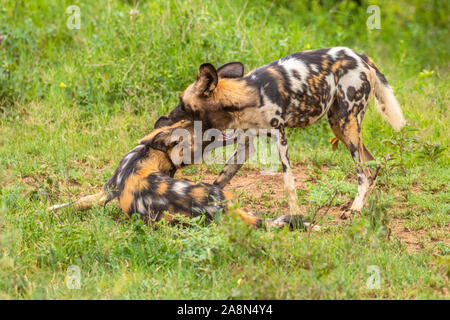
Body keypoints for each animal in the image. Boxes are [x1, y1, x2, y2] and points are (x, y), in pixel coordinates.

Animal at [163, 46, 406, 219]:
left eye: (182, 104)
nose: (166, 117)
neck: (247, 97)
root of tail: (359, 55)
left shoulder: (281, 138)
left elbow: (289, 184)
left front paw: (296, 217)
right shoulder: (245, 146)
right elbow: (220, 180)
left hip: (348, 123)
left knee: (363, 172)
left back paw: (354, 209)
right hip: (339, 125)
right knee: (373, 165)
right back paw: (361, 206)